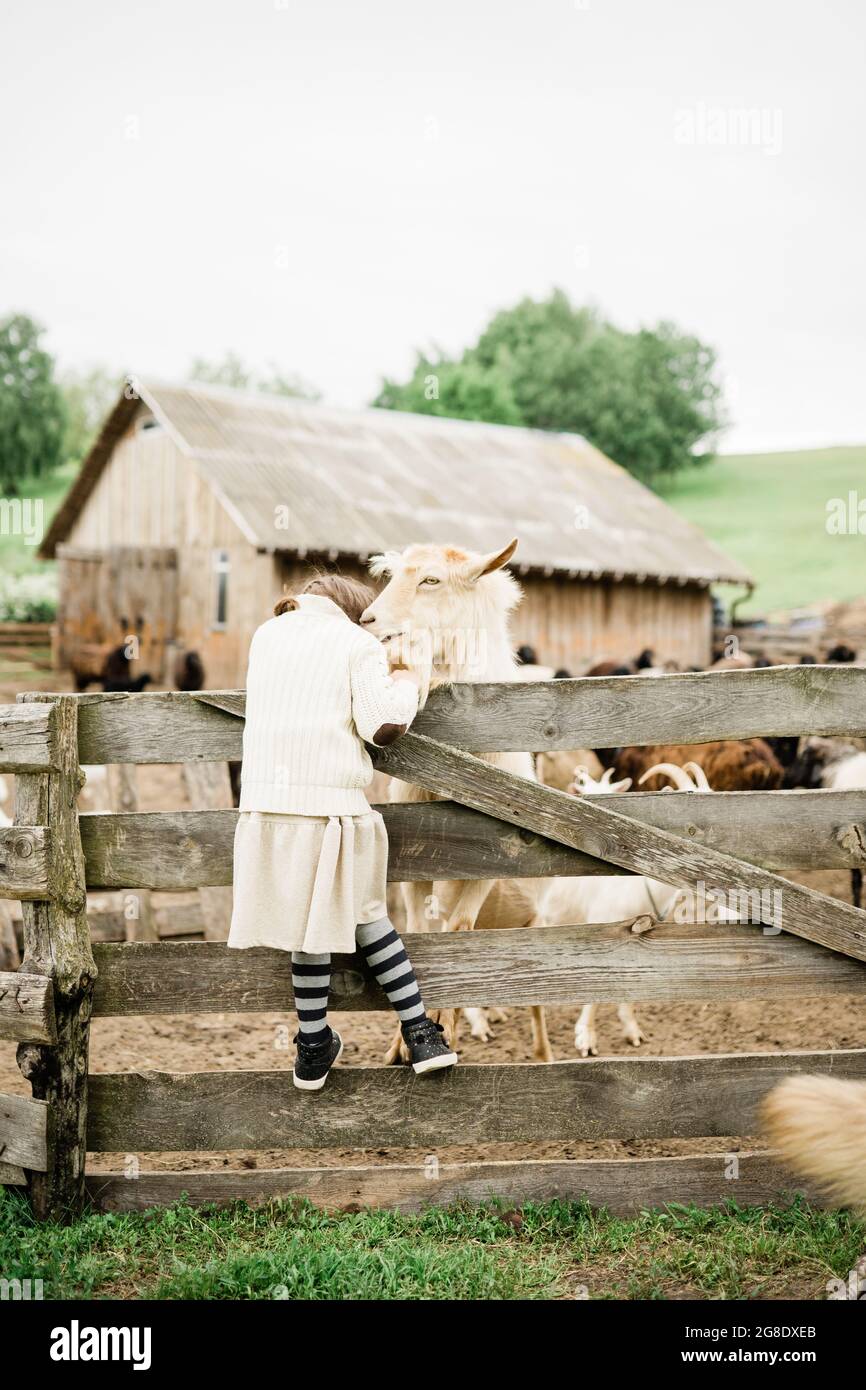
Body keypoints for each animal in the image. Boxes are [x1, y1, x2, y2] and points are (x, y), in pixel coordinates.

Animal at [361, 537, 553, 1064]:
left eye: (432, 580)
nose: (367, 619)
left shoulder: (487, 865)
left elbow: (458, 931)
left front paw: (442, 1026)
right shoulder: (412, 869)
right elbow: (420, 936)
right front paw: (402, 1045)